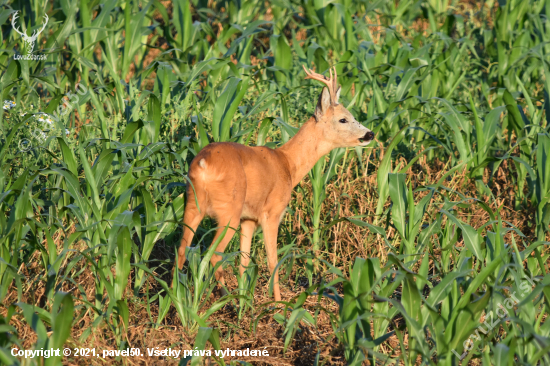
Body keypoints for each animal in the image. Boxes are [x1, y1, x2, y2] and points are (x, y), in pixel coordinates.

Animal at [177, 65, 376, 300]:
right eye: (343, 119)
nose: (370, 134)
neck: (287, 164)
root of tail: (203, 164)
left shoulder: (248, 218)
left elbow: (244, 261)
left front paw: (248, 300)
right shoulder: (271, 212)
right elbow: (273, 261)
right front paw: (279, 303)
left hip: (192, 204)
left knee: (182, 250)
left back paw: (174, 296)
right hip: (229, 211)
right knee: (214, 255)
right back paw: (226, 299)